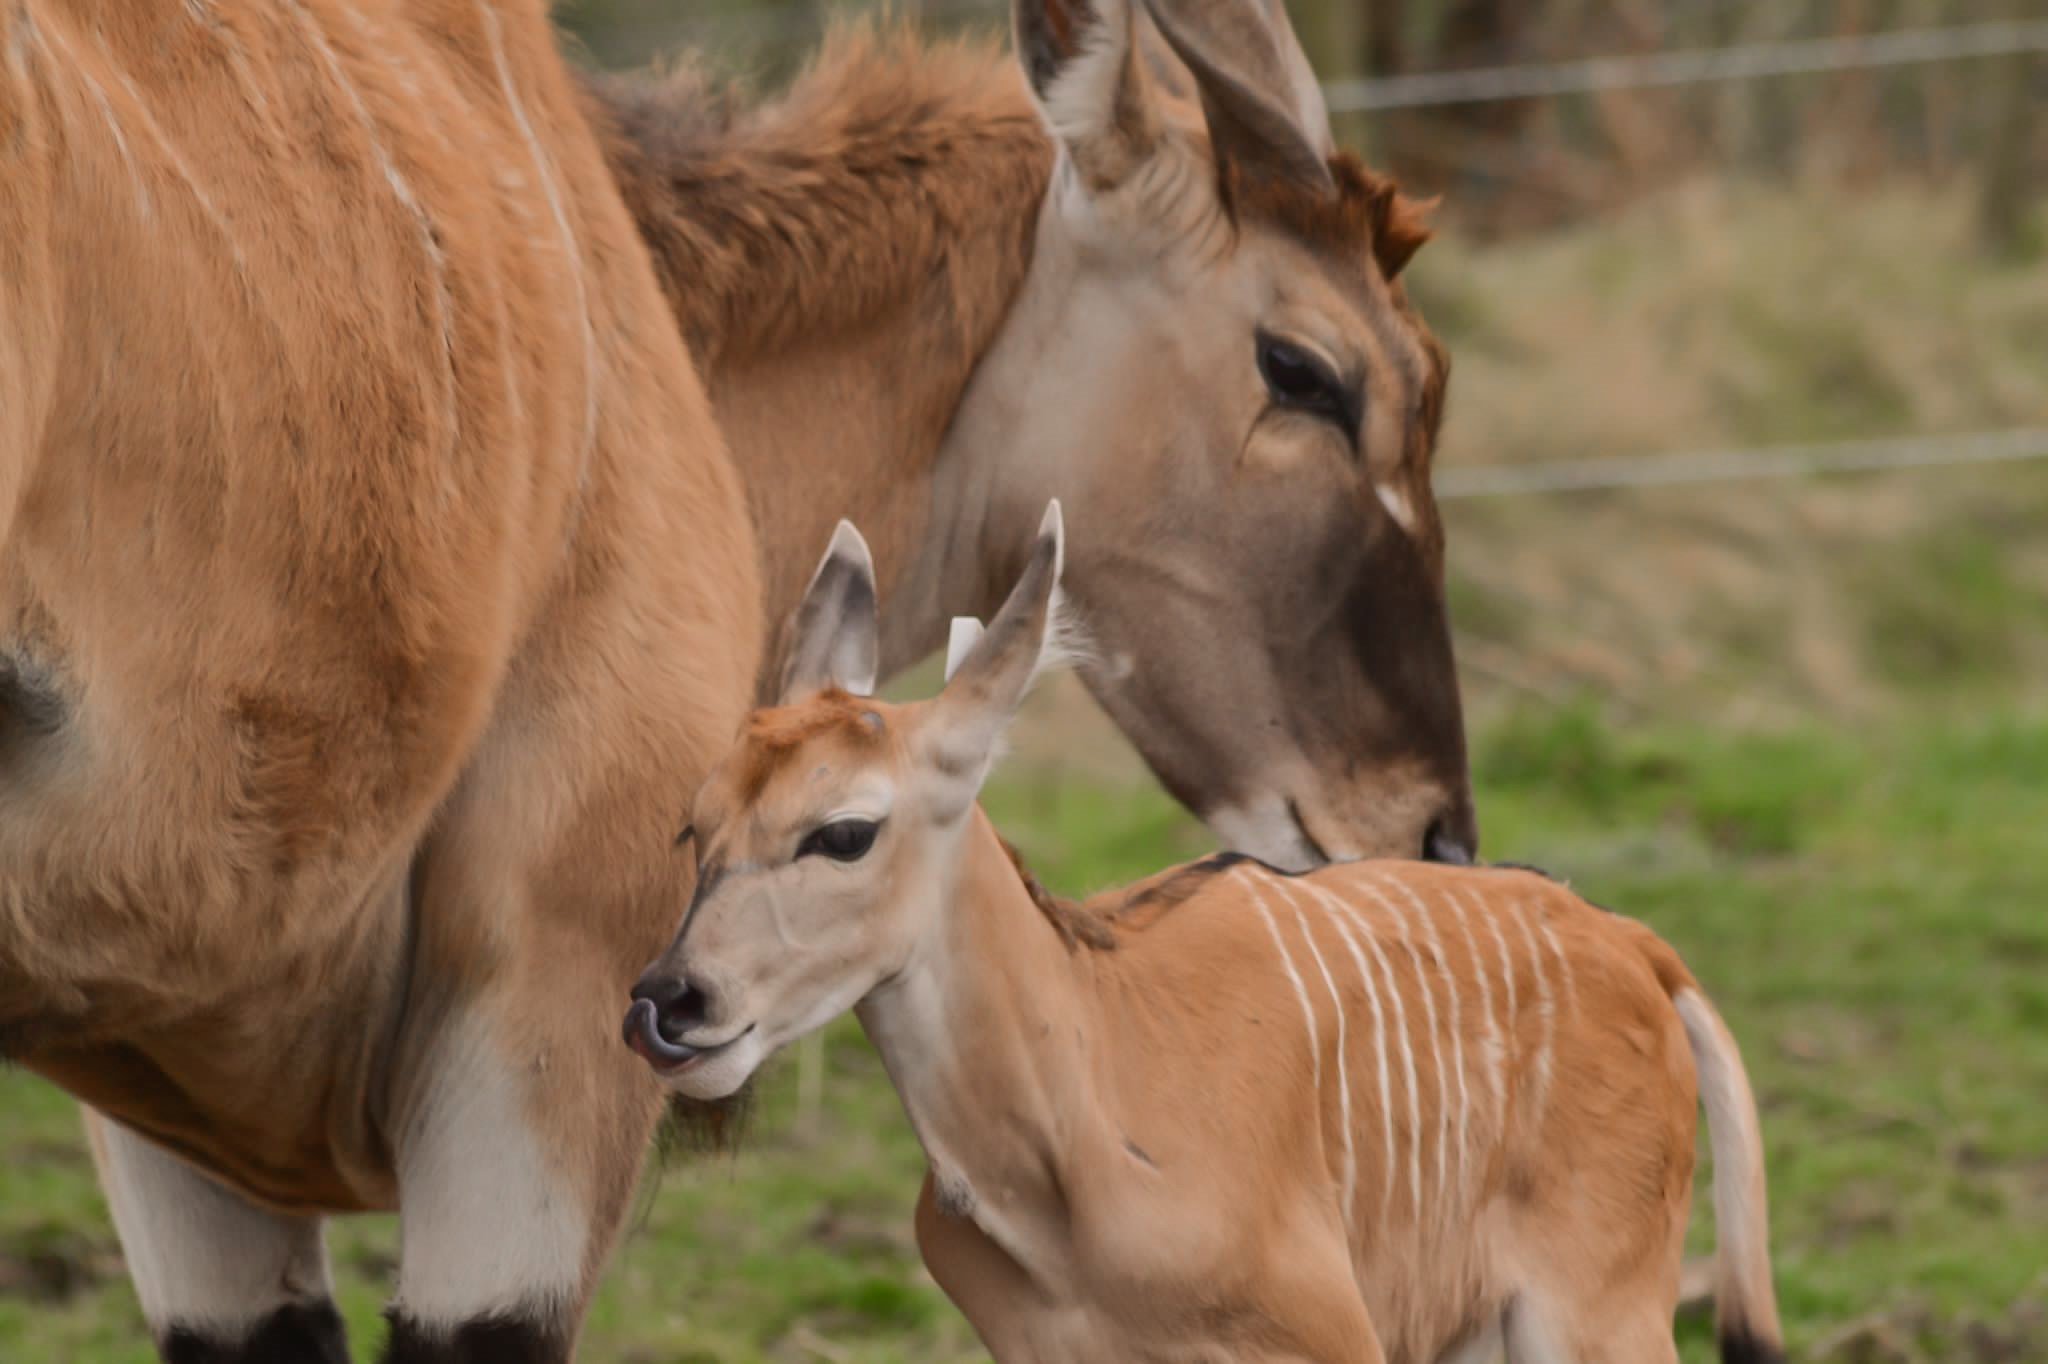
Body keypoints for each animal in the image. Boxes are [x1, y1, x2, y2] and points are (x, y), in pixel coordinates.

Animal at [622, 509, 1777, 1359]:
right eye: (692, 825)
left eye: (845, 831)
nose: (669, 1003)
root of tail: (1634, 947)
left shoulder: (1330, 1339)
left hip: (1592, 1316)